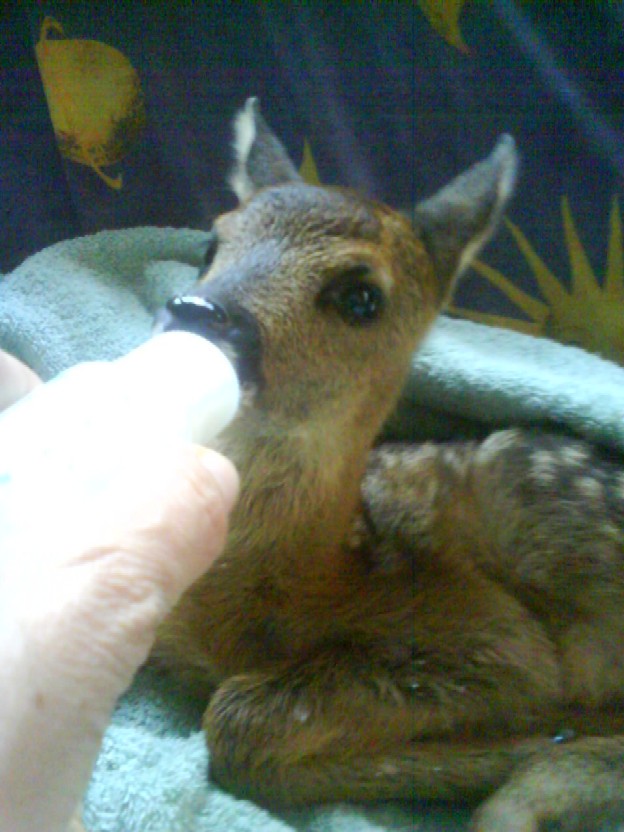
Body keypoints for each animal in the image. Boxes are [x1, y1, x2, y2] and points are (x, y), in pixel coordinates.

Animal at [155, 99, 624, 832]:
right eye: (212, 243)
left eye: (361, 297)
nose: (199, 312)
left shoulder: (496, 640)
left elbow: (233, 720)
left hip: (542, 501)